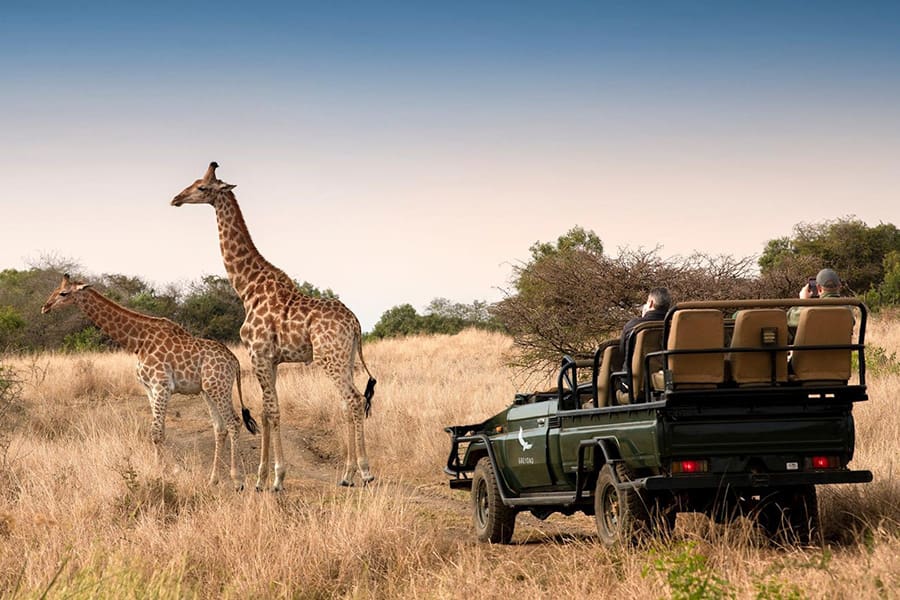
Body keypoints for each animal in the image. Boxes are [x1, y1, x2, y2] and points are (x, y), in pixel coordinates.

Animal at [41, 274, 258, 490]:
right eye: (55, 290)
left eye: (63, 293)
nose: (45, 307)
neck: (138, 342)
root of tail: (235, 362)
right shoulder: (149, 388)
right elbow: (159, 431)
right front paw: (163, 471)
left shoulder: (161, 385)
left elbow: (156, 432)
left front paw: (164, 473)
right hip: (207, 390)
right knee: (220, 428)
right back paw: (213, 480)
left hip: (219, 386)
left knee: (234, 422)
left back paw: (238, 480)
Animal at [171, 162, 377, 490]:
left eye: (202, 187)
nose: (176, 199)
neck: (247, 288)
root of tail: (356, 323)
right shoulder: (272, 359)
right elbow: (266, 411)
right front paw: (261, 478)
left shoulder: (258, 354)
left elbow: (272, 410)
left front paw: (277, 478)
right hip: (344, 359)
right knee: (349, 403)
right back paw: (347, 475)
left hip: (329, 359)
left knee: (354, 400)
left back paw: (363, 472)